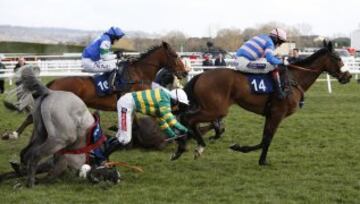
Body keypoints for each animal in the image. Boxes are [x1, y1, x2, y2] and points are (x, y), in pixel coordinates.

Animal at [3, 41, 188, 140]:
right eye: (175, 55)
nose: (185, 72)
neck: (138, 74)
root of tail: (53, 82)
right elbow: (157, 114)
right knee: (32, 117)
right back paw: (14, 134)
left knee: (31, 117)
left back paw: (13, 134)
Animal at [174, 40, 352, 165]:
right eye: (338, 58)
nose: (348, 76)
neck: (293, 80)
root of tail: (201, 75)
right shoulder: (278, 114)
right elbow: (267, 139)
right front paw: (257, 158)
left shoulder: (270, 114)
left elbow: (264, 138)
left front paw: (247, 151)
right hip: (216, 109)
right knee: (188, 118)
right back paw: (195, 146)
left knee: (187, 118)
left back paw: (183, 146)